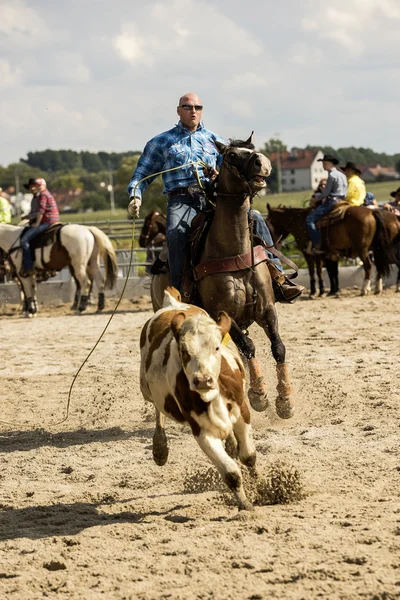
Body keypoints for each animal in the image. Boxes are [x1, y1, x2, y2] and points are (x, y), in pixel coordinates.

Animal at [152, 139, 296, 422]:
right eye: (230, 155)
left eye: (252, 148)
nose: (263, 161)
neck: (233, 251)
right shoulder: (222, 312)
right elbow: (249, 346)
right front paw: (259, 396)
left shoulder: (266, 308)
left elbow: (278, 347)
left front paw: (284, 400)